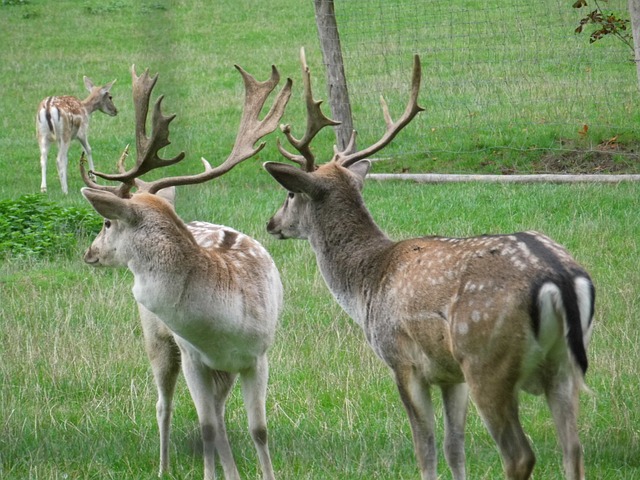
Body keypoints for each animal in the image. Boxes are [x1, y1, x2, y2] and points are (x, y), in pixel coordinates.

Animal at [80, 64, 292, 480]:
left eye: (107, 223)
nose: (90, 252)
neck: (221, 327)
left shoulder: (258, 356)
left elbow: (258, 429)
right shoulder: (193, 357)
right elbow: (205, 426)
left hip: (223, 371)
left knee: (221, 415)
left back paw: (231, 472)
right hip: (158, 339)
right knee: (166, 406)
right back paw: (163, 468)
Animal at [260, 49, 596, 480]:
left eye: (289, 194)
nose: (271, 224)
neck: (365, 285)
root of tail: (558, 276)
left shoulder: (402, 361)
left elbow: (426, 448)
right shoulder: (450, 375)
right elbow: (455, 448)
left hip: (486, 358)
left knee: (520, 454)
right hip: (561, 367)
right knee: (573, 448)